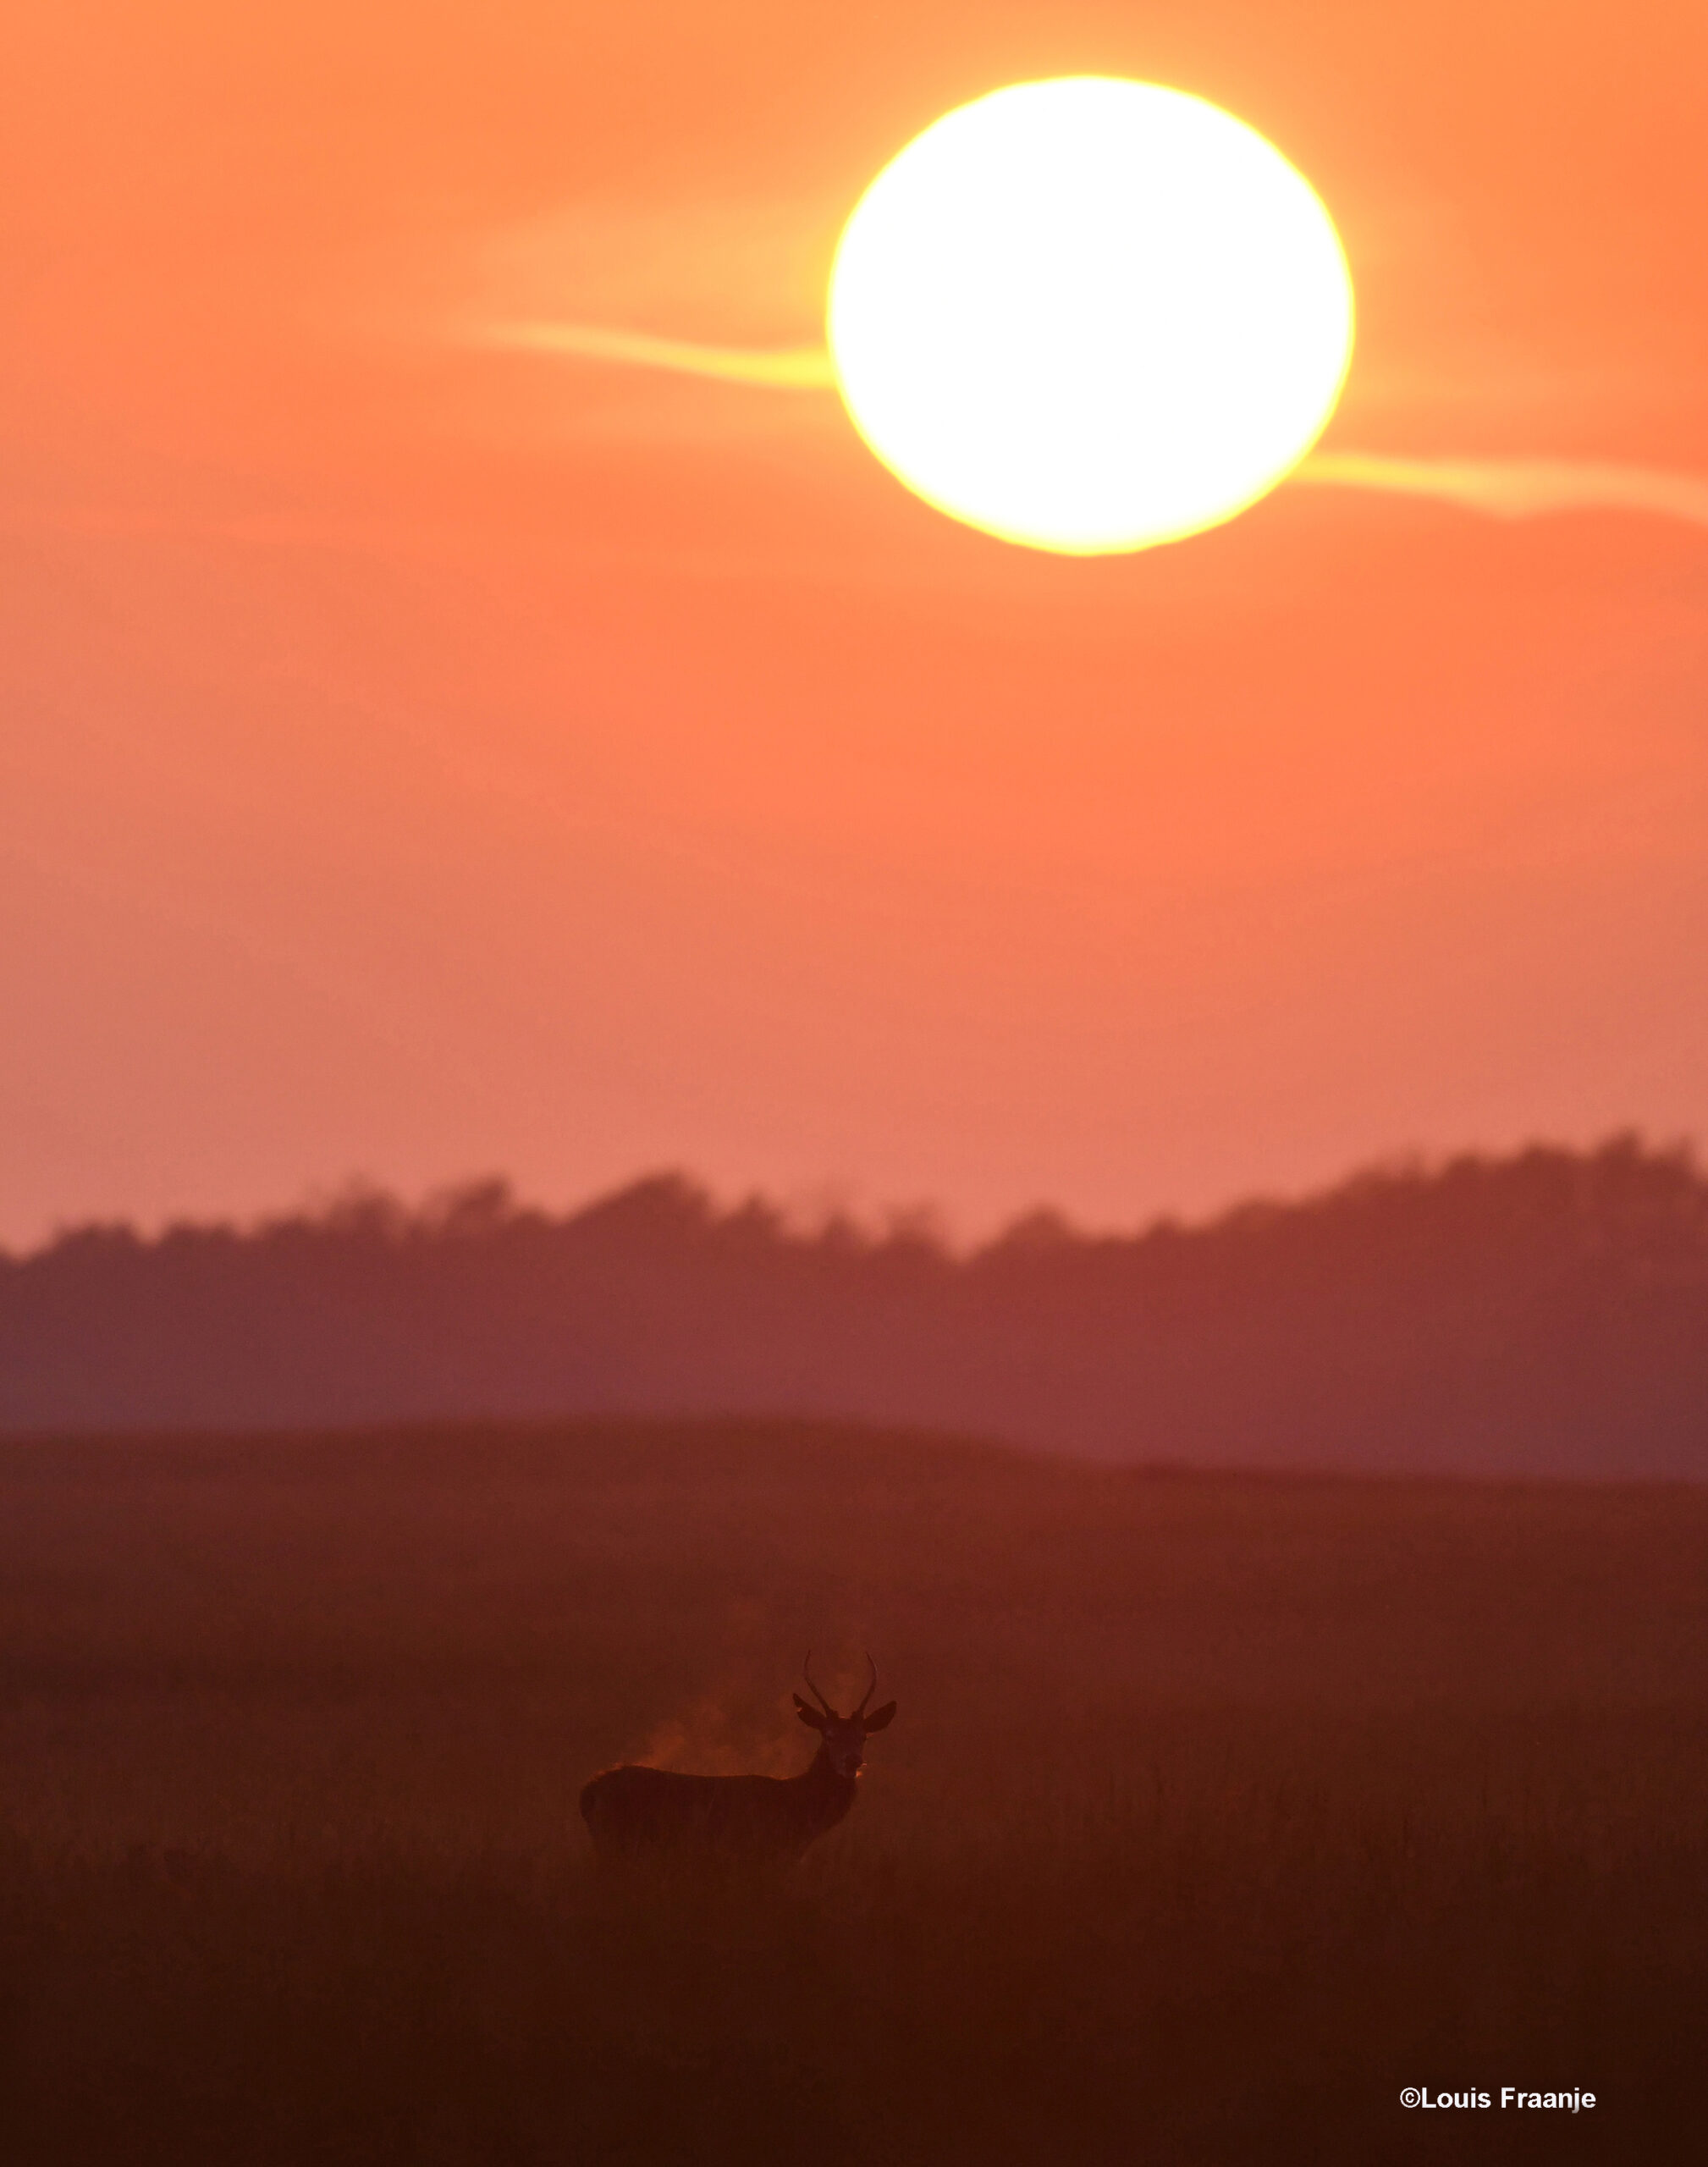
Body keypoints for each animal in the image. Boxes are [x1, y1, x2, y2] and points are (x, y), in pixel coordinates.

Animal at [581, 1655, 901, 1863]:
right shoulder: (758, 1854)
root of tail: (590, 1790)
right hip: (616, 1842)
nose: (852, 1761)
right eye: (829, 1735)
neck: (795, 1808)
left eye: (864, 1737)